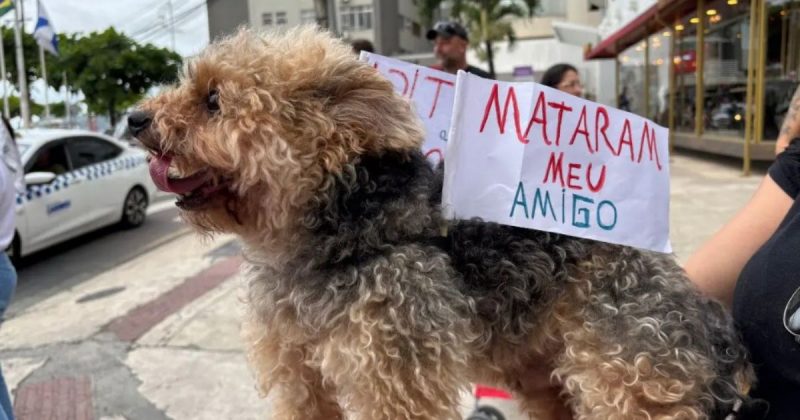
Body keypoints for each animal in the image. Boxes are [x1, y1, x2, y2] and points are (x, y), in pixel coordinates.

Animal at [131, 27, 768, 418]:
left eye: (213, 100)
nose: (135, 118)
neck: (332, 244)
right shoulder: (299, 379)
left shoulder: (395, 381)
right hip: (543, 374)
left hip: (630, 385)